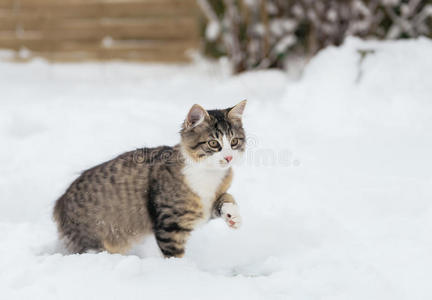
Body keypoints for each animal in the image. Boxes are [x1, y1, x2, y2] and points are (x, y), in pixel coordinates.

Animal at [53, 101, 246, 258]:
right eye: (213, 143)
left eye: (234, 142)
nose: (229, 157)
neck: (208, 174)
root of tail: (59, 203)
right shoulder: (170, 224)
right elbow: (174, 255)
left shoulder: (204, 208)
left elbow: (227, 197)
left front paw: (233, 216)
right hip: (92, 241)